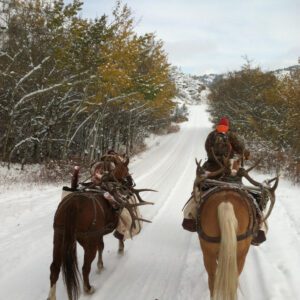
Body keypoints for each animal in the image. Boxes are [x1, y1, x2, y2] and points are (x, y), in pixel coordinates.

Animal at [47, 156, 134, 298]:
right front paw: (120, 250)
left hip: (59, 237)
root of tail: (73, 204)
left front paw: (100, 265)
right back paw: (88, 288)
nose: (130, 184)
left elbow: (102, 246)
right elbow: (118, 237)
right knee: (85, 267)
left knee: (54, 268)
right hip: (88, 242)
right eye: (127, 170)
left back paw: (51, 296)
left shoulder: (98, 234)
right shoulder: (101, 232)